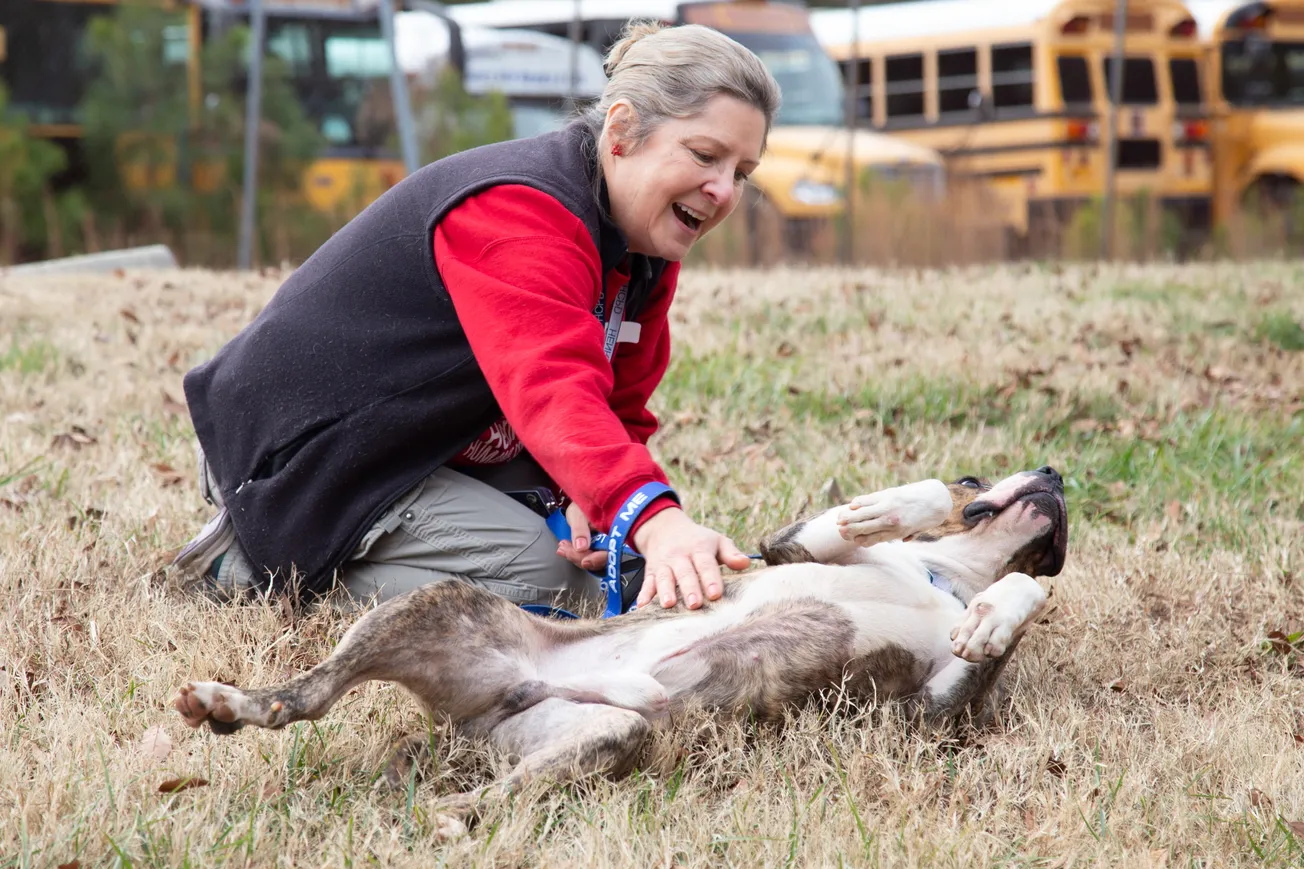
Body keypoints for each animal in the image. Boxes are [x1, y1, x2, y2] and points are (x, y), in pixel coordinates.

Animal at [176, 467, 1069, 840]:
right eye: (979, 473)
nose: (1056, 471)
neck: (947, 576)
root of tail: (488, 714)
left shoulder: (933, 711)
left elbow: (1021, 600)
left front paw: (998, 613)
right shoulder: (785, 542)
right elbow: (886, 509)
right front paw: (888, 506)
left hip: (599, 736)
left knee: (489, 792)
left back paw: (449, 816)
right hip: (436, 606)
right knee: (307, 694)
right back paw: (231, 701)